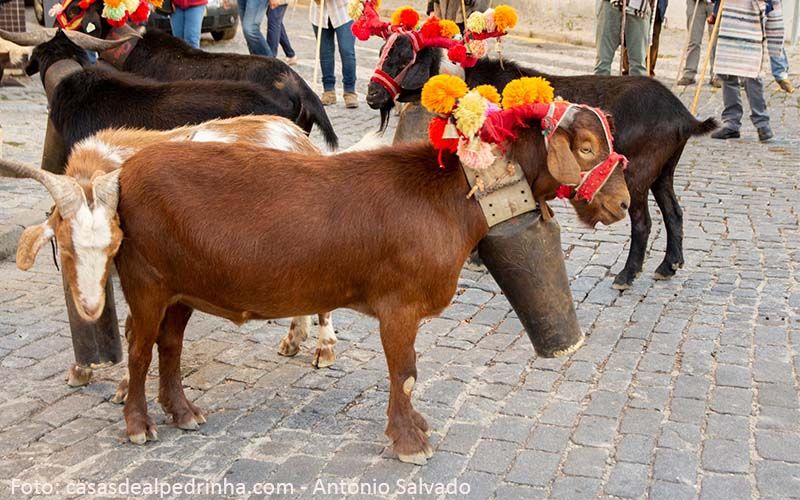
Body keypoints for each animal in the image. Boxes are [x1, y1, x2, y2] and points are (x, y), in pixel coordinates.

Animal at [368, 41, 720, 290]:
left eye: (403, 56)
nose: (372, 95)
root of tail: (684, 116)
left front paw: (478, 258)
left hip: (637, 172)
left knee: (643, 221)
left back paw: (626, 275)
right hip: (664, 170)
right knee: (674, 211)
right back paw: (668, 267)